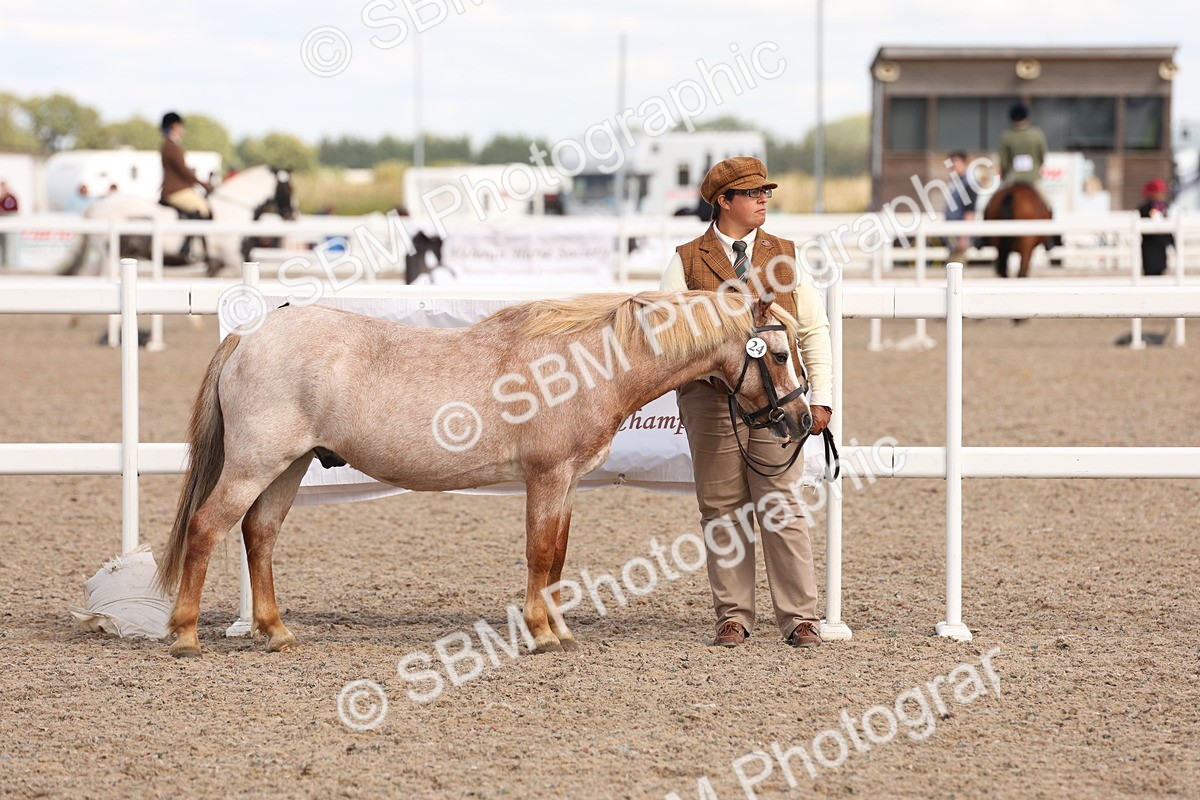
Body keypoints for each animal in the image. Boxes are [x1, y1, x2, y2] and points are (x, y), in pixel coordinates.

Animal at [61, 165, 296, 278]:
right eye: (289, 188)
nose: (293, 215)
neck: (234, 212)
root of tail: (96, 206)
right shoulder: (235, 262)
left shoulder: (216, 265)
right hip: (111, 255)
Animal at [154, 290, 813, 657]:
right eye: (779, 354)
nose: (804, 419)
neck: (578, 365)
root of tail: (249, 337)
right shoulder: (546, 477)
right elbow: (540, 553)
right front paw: (541, 635)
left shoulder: (567, 483)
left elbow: (557, 556)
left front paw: (559, 631)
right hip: (254, 464)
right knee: (208, 528)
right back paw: (185, 636)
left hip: (288, 467)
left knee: (259, 535)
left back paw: (276, 632)